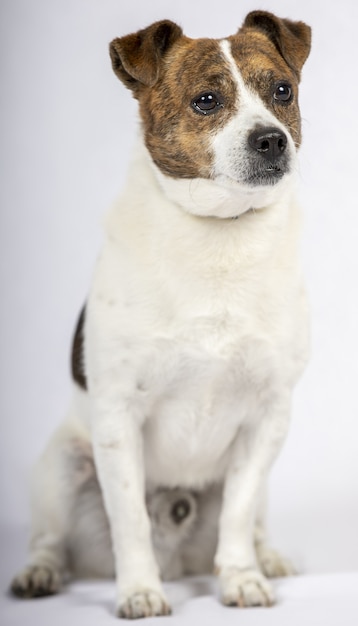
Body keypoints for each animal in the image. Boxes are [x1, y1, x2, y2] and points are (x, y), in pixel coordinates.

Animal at [11, 9, 312, 620]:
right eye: (205, 100)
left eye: (283, 91)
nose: (271, 138)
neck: (221, 236)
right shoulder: (118, 417)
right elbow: (129, 520)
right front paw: (140, 591)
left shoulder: (269, 416)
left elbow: (238, 512)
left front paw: (242, 577)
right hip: (62, 465)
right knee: (50, 539)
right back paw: (40, 573)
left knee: (253, 519)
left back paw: (268, 557)